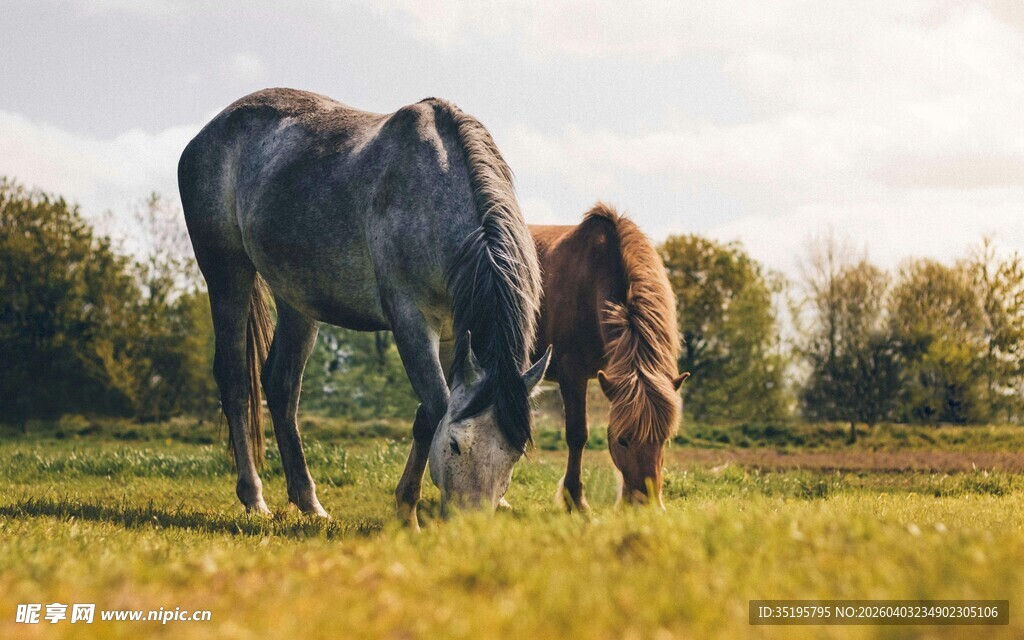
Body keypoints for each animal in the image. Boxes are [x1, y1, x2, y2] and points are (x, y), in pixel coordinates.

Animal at [178, 88, 550, 527]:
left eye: (514, 453)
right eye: (457, 445)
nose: (469, 525)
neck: (436, 191)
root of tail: (207, 133)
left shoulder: (453, 335)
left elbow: (428, 414)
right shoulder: (411, 321)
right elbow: (435, 408)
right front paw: (407, 512)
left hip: (296, 300)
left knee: (281, 385)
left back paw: (309, 502)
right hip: (227, 275)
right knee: (236, 381)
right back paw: (254, 497)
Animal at [531, 203, 687, 510]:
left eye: (664, 440)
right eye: (623, 440)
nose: (645, 504)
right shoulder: (572, 373)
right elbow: (577, 434)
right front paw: (576, 501)